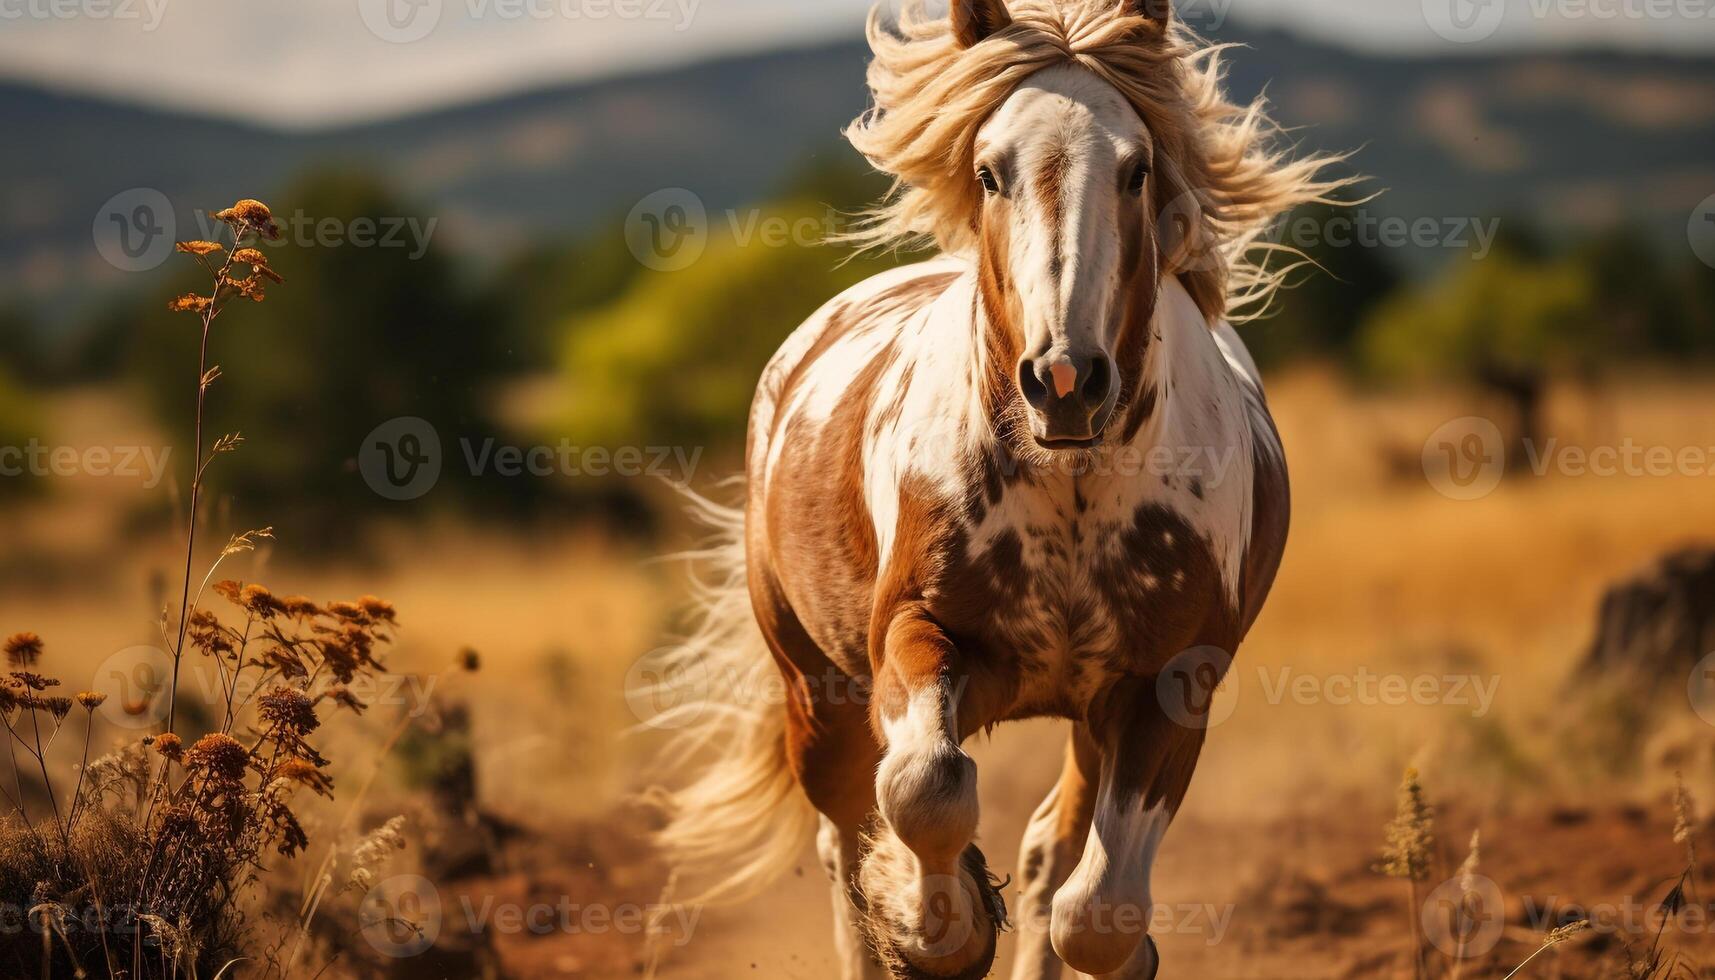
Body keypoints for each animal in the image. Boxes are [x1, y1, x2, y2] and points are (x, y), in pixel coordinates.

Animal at [651, 1, 1351, 980]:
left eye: (1136, 169)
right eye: (989, 171)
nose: (1064, 380)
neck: (1070, 493)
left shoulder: (1168, 684)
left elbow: (1094, 910)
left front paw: (1113, 950)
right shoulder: (916, 637)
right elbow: (925, 787)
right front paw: (940, 931)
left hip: (1084, 717)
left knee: (1049, 844)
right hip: (813, 688)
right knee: (845, 838)